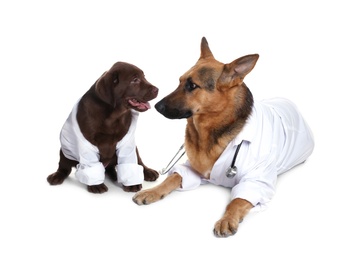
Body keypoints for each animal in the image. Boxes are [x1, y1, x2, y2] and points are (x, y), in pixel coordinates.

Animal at [132, 37, 312, 238]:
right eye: (179, 82)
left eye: (192, 86)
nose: (156, 106)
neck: (208, 133)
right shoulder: (191, 169)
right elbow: (172, 178)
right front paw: (152, 191)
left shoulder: (256, 181)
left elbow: (237, 200)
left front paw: (227, 219)